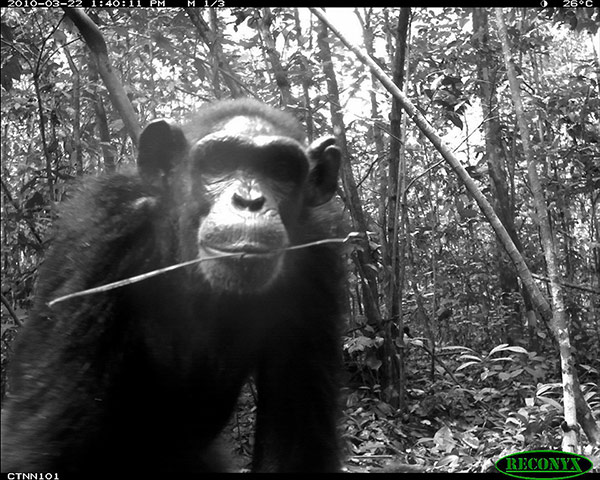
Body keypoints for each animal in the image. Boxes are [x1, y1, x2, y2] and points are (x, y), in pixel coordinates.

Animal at [0, 99, 344, 474]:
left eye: (280, 169)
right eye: (219, 163)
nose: (249, 200)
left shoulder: (317, 256)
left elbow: (293, 449)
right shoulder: (99, 236)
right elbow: (45, 441)